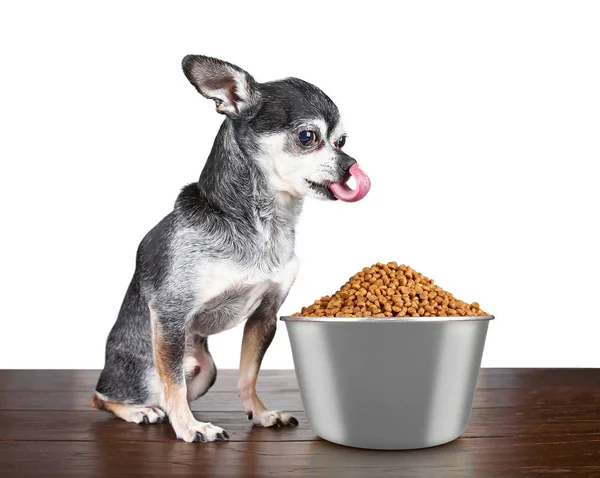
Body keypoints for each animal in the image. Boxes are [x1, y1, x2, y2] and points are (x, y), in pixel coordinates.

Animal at [90, 54, 360, 442]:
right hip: (147, 367)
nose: (352, 164)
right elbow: (173, 386)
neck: (263, 225)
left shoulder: (265, 315)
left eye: (341, 140)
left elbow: (248, 374)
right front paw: (189, 427)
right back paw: (140, 411)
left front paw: (260, 413)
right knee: (106, 396)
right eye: (307, 137)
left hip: (205, 370)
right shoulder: (170, 313)